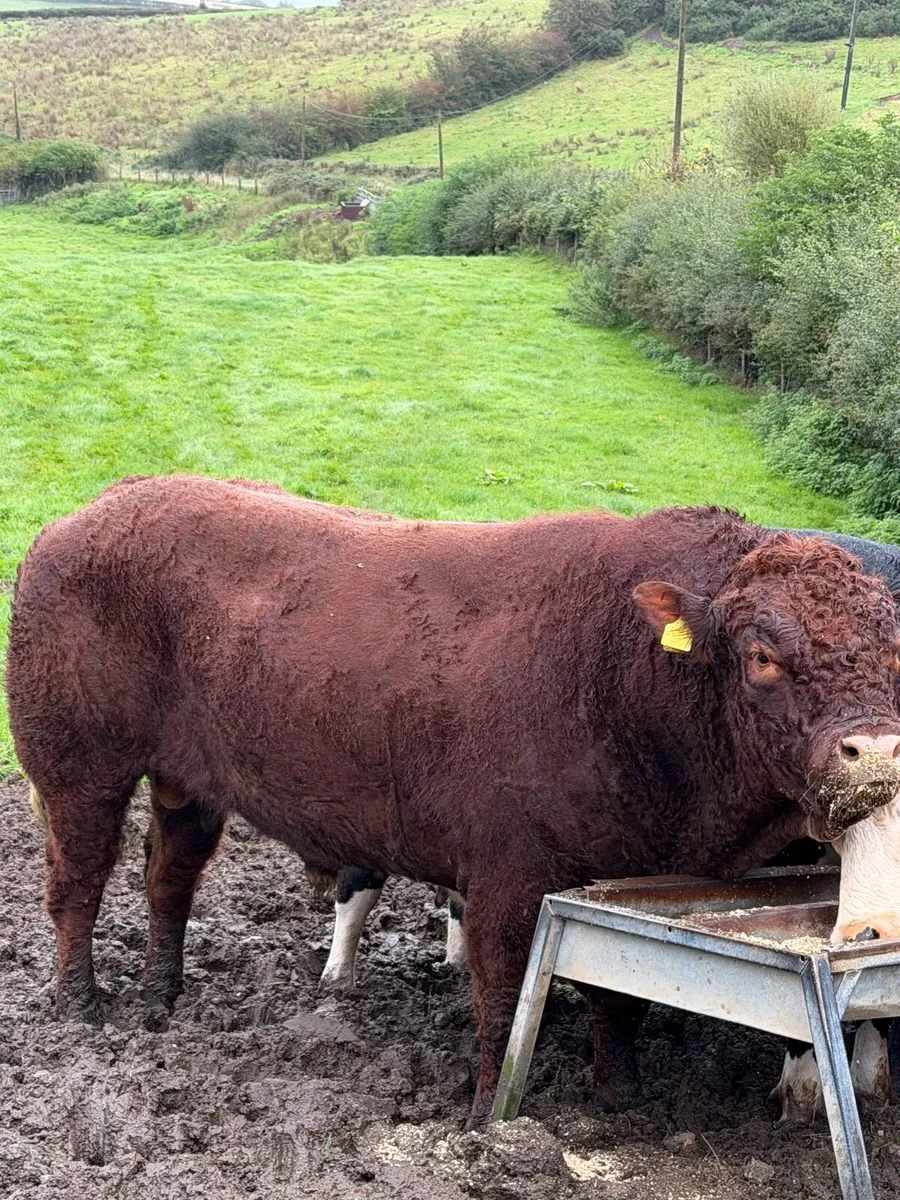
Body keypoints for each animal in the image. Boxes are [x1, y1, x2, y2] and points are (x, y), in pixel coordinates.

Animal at [8, 475, 900, 1128]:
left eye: (892, 650)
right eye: (762, 656)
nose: (877, 750)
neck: (622, 676)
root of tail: (89, 512)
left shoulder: (620, 881)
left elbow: (621, 997)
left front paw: (619, 1094)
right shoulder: (507, 873)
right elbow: (501, 998)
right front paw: (482, 1120)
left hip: (187, 783)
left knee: (169, 879)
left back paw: (163, 994)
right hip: (76, 767)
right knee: (77, 884)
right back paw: (82, 1003)